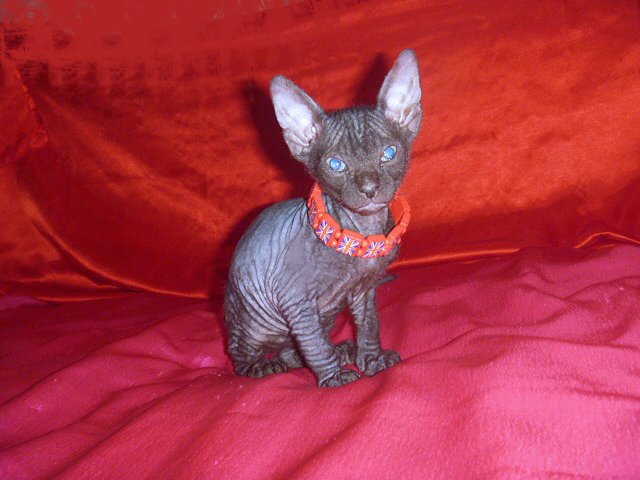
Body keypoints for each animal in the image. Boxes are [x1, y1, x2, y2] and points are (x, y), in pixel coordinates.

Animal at [224, 49, 422, 387]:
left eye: (389, 153)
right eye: (336, 164)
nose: (369, 189)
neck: (358, 233)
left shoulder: (364, 291)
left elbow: (369, 326)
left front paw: (371, 359)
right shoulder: (296, 301)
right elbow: (315, 345)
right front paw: (334, 376)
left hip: (324, 316)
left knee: (292, 352)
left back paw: (339, 350)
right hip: (254, 320)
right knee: (243, 351)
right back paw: (260, 366)